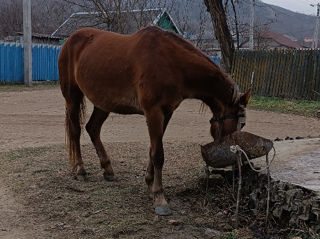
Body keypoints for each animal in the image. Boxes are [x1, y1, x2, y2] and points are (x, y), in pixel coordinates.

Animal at [59, 25, 250, 215]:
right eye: (239, 125)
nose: (237, 164)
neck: (173, 62)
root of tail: (71, 39)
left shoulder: (166, 113)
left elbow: (153, 150)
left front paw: (150, 184)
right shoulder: (153, 112)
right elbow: (158, 154)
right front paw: (159, 197)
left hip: (103, 103)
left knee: (93, 128)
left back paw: (107, 169)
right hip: (72, 96)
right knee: (76, 131)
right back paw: (80, 170)